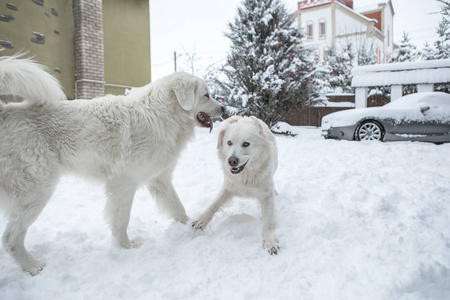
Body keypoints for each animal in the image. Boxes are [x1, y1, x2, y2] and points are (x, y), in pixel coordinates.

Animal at [0, 55, 223, 276]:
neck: (163, 115)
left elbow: (178, 207)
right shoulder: (124, 184)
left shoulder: (160, 180)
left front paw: (192, 226)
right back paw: (32, 266)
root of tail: (5, 112)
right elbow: (121, 220)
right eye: (206, 95)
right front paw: (127, 247)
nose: (223, 108)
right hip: (37, 191)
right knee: (10, 239)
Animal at [192, 116, 280, 254]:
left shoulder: (267, 195)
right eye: (229, 143)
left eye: (246, 144)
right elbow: (214, 205)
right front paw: (201, 220)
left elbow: (268, 223)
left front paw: (270, 243)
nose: (231, 161)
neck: (246, 175)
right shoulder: (229, 187)